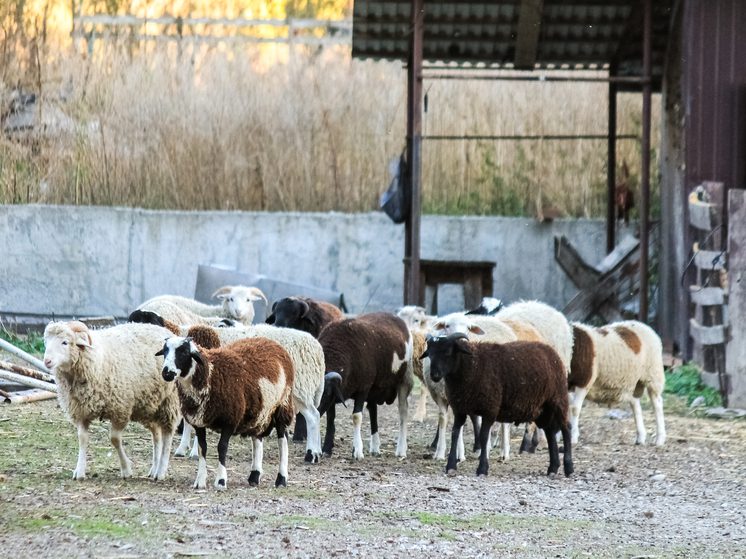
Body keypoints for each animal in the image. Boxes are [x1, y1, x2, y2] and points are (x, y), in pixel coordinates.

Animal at [42, 322, 180, 484]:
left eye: (65, 342)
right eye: (46, 342)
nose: (47, 361)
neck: (96, 361)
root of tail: (164, 330)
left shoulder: (120, 409)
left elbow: (114, 439)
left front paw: (126, 469)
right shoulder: (81, 411)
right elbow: (82, 438)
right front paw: (79, 470)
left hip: (169, 401)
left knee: (167, 435)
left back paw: (161, 471)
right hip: (149, 405)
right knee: (156, 435)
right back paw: (154, 469)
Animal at [157, 336, 294, 490]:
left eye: (184, 352)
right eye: (165, 351)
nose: (167, 373)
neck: (210, 374)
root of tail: (271, 342)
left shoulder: (230, 419)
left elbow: (222, 447)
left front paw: (221, 481)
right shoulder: (199, 421)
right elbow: (202, 448)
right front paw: (200, 481)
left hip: (282, 405)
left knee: (283, 440)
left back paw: (281, 479)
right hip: (260, 411)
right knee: (257, 439)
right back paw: (254, 476)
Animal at [316, 312, 412, 462]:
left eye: (324, 393)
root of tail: (395, 317)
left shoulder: (363, 388)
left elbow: (356, 417)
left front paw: (357, 451)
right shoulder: (336, 394)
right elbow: (330, 418)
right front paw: (326, 449)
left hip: (404, 379)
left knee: (403, 411)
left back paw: (401, 450)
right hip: (374, 388)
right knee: (373, 411)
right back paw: (375, 448)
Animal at [422, 334, 572, 480]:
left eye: (448, 352)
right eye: (429, 353)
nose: (434, 375)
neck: (472, 365)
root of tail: (550, 351)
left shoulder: (490, 409)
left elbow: (483, 437)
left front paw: (482, 468)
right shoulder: (459, 409)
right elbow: (455, 433)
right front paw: (451, 466)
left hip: (558, 400)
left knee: (566, 429)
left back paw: (568, 468)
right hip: (543, 410)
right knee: (550, 433)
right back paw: (553, 468)